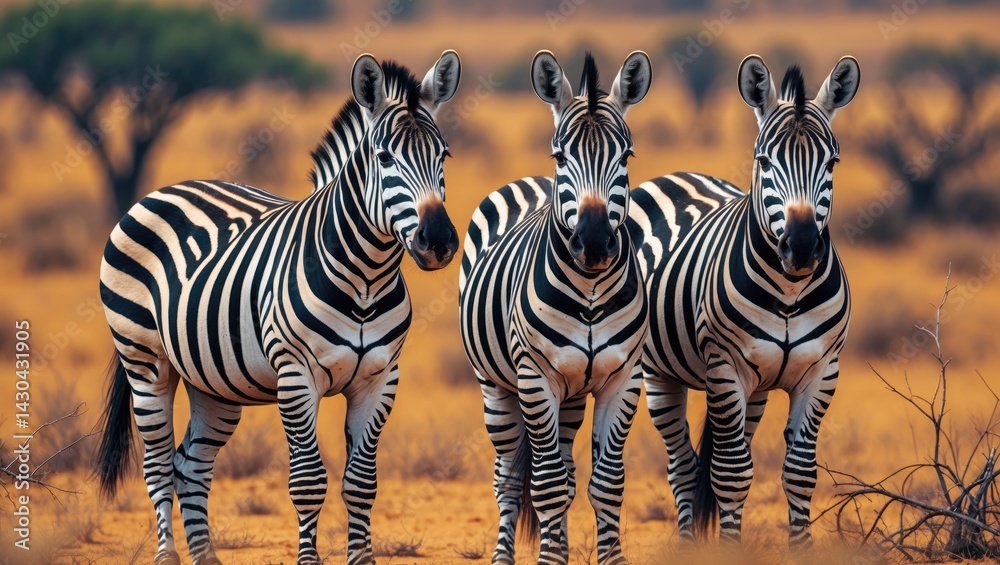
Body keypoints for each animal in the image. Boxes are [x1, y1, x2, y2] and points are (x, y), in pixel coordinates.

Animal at [95, 51, 462, 565]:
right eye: (385, 158)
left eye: (443, 155)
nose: (439, 241)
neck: (366, 279)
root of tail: (161, 191)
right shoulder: (296, 375)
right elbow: (307, 483)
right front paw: (308, 560)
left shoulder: (380, 378)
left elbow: (361, 483)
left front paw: (361, 558)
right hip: (145, 362)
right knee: (158, 465)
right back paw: (168, 555)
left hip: (213, 382)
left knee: (190, 464)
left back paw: (206, 556)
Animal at [460, 51, 651, 565]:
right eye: (562, 156)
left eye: (626, 156)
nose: (594, 242)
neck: (589, 288)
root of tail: (529, 182)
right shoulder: (535, 375)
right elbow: (544, 486)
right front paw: (547, 559)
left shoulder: (624, 377)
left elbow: (605, 484)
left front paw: (610, 558)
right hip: (497, 388)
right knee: (509, 478)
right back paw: (505, 555)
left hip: (571, 395)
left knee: (564, 470)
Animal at [626, 54, 860, 548]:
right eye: (764, 161)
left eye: (832, 161)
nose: (802, 246)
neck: (789, 291)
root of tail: (681, 175)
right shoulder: (725, 365)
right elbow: (731, 474)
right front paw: (728, 548)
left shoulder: (822, 370)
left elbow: (799, 473)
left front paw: (802, 550)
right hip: (660, 374)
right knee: (683, 467)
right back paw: (687, 546)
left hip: (755, 389)